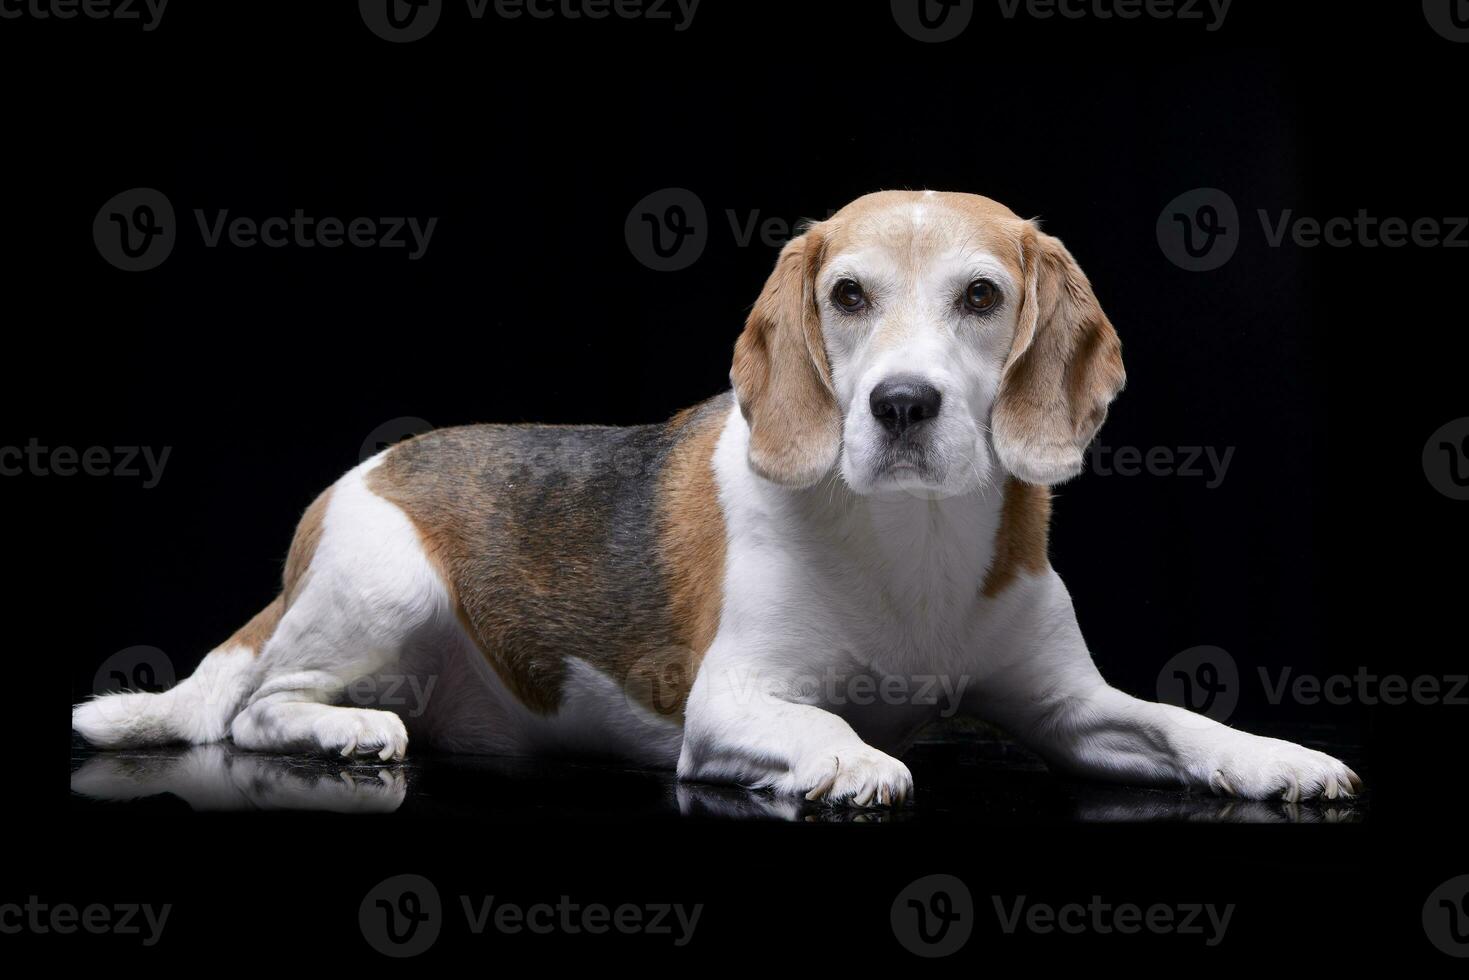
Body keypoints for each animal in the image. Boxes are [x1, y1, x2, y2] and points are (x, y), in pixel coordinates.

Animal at [69, 189, 1357, 805]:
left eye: (982, 296)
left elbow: (1178, 724)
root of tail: (355, 478)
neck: (911, 537)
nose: (899, 403)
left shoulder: (1068, 706)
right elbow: (826, 727)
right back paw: (346, 731)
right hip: (382, 590)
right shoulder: (734, 703)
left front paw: (1272, 755)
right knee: (254, 709)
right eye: (846, 294)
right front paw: (853, 762)